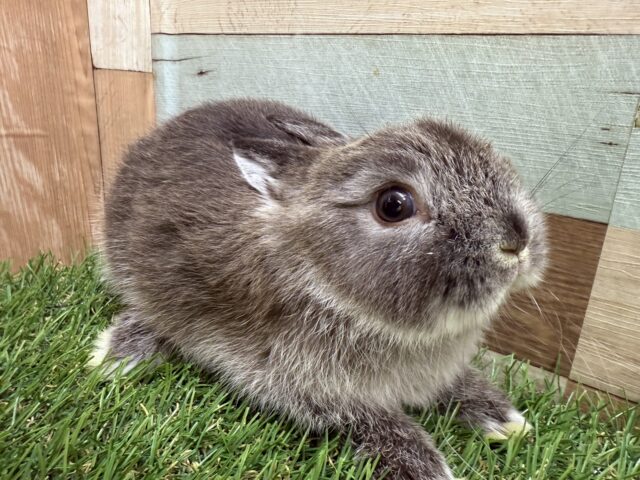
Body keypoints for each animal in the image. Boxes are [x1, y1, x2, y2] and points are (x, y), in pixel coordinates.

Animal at [90, 98, 548, 480]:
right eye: (393, 205)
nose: (516, 241)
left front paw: (508, 422)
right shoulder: (302, 382)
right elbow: (374, 422)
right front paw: (428, 470)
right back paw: (117, 356)